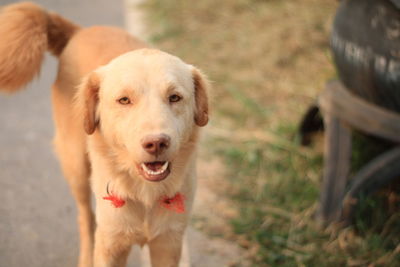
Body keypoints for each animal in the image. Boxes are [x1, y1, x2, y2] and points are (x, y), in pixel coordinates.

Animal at [0, 2, 211, 267]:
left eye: (175, 97)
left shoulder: (169, 243)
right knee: (85, 218)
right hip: (76, 166)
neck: (144, 193)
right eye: (124, 100)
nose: (156, 143)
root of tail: (81, 31)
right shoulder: (112, 243)